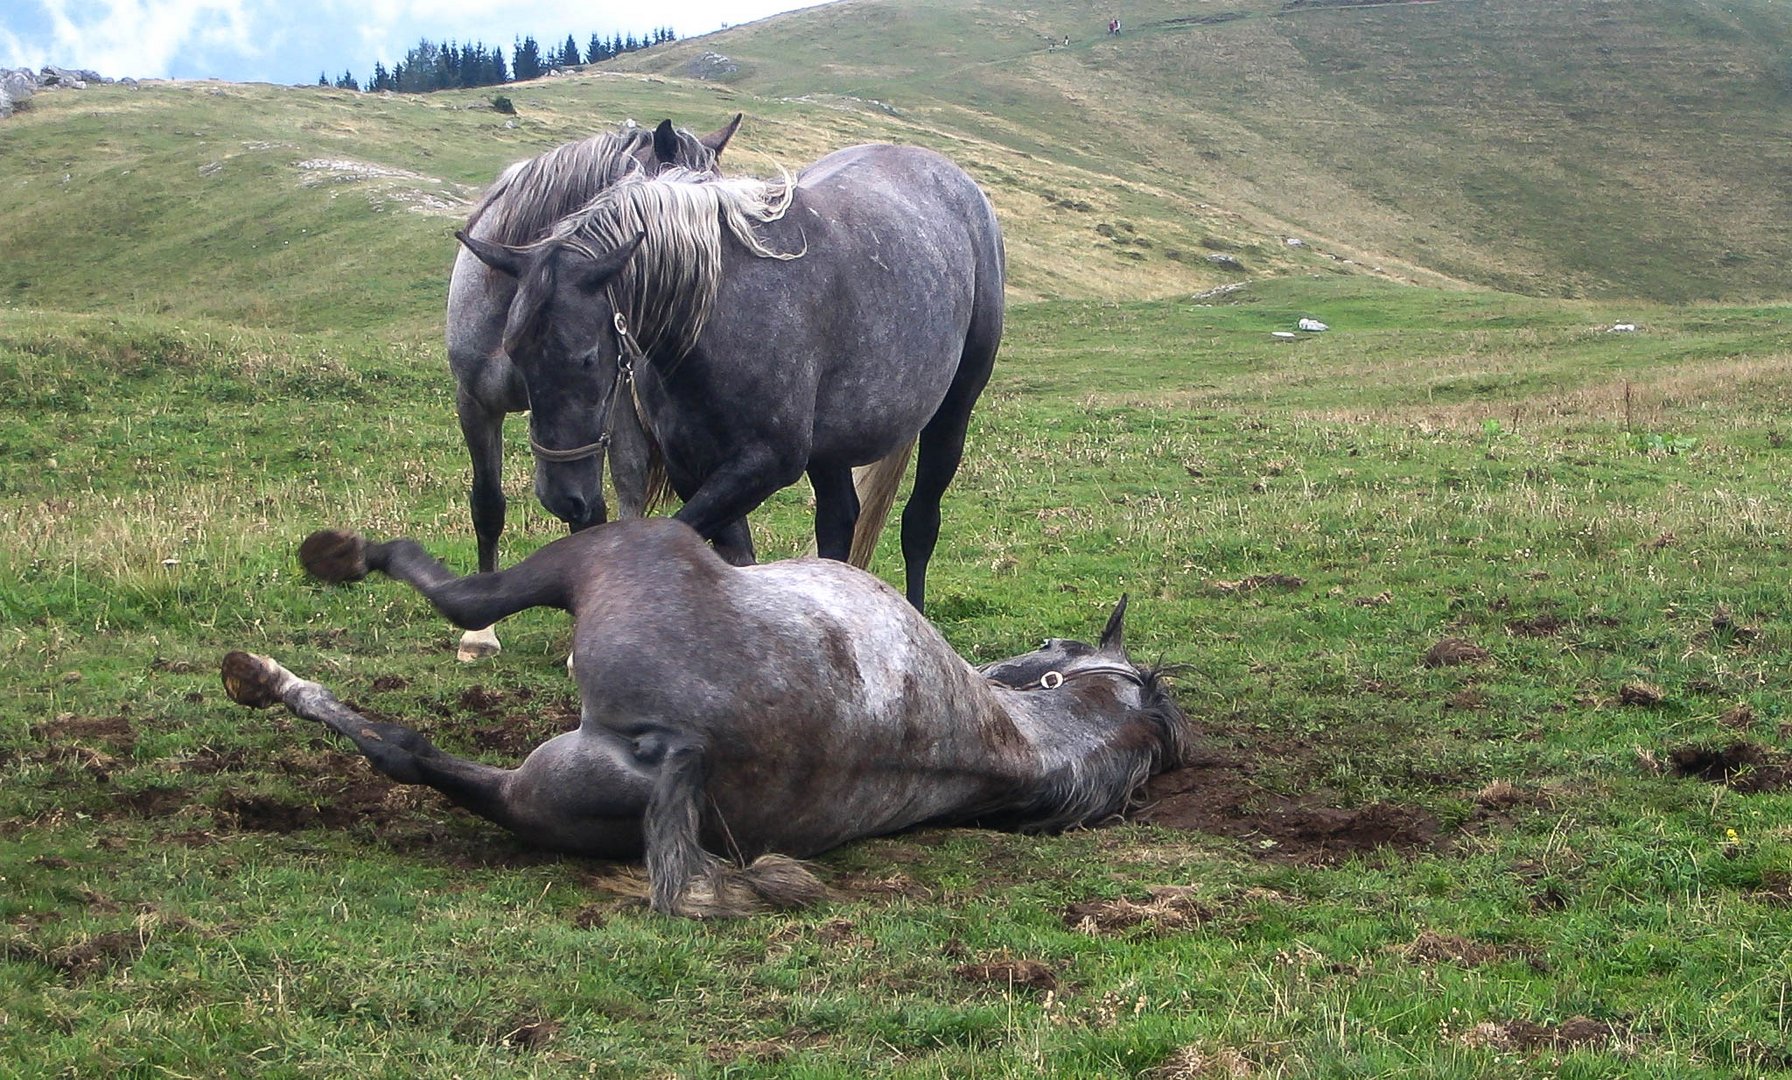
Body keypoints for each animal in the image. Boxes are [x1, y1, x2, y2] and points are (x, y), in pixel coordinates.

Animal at [220, 522, 1189, 924]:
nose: (1005, 663)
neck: (1019, 742)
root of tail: (690, 745)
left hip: (601, 554)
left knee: (447, 629)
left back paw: (284, 637)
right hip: (543, 796)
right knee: (413, 755)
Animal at [455, 145, 1003, 616]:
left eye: (587, 359)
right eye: (515, 353)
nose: (561, 496)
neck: (717, 318)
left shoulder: (765, 463)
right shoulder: (694, 467)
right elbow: (734, 557)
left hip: (952, 412)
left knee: (920, 523)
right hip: (829, 448)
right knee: (839, 520)